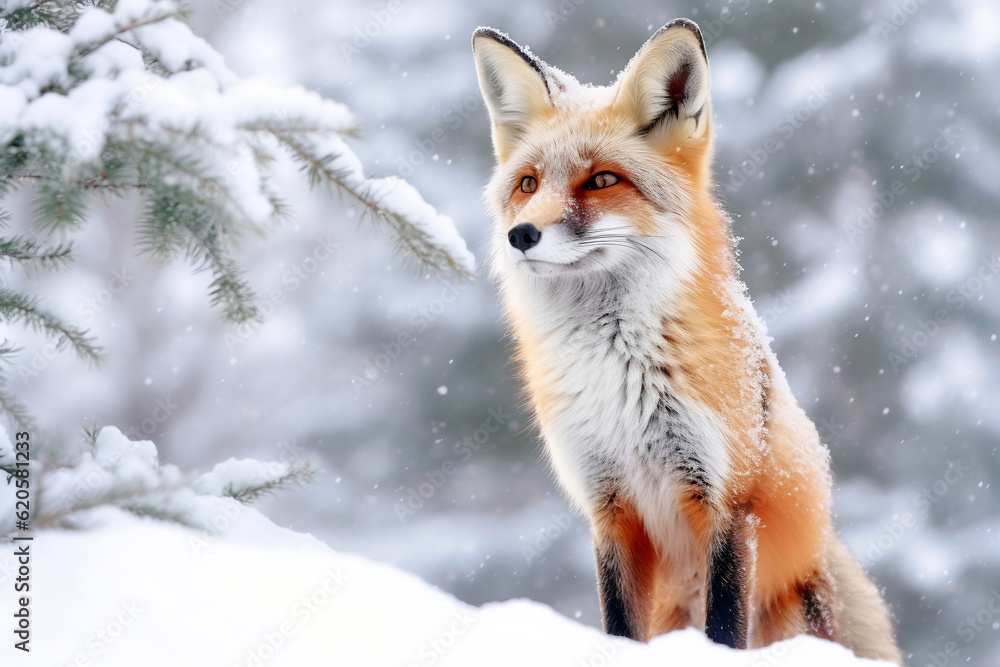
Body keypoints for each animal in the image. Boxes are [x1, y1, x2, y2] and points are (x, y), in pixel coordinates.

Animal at [471, 19, 901, 662]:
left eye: (602, 180)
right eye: (528, 184)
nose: (520, 235)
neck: (619, 377)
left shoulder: (727, 502)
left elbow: (724, 628)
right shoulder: (609, 507)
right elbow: (619, 625)